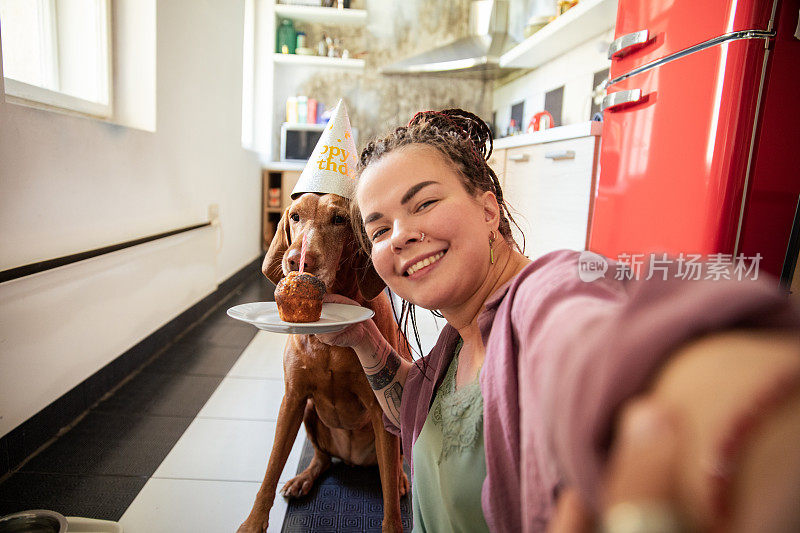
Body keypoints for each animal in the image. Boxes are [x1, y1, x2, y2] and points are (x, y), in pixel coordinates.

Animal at [236, 192, 412, 532]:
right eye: (295, 216)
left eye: (339, 219)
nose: (298, 261)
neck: (325, 335)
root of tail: (353, 459)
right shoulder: (292, 399)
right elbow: (271, 468)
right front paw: (253, 522)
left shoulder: (379, 405)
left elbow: (390, 506)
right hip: (308, 411)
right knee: (321, 458)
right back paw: (303, 478)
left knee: (394, 465)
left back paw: (399, 479)